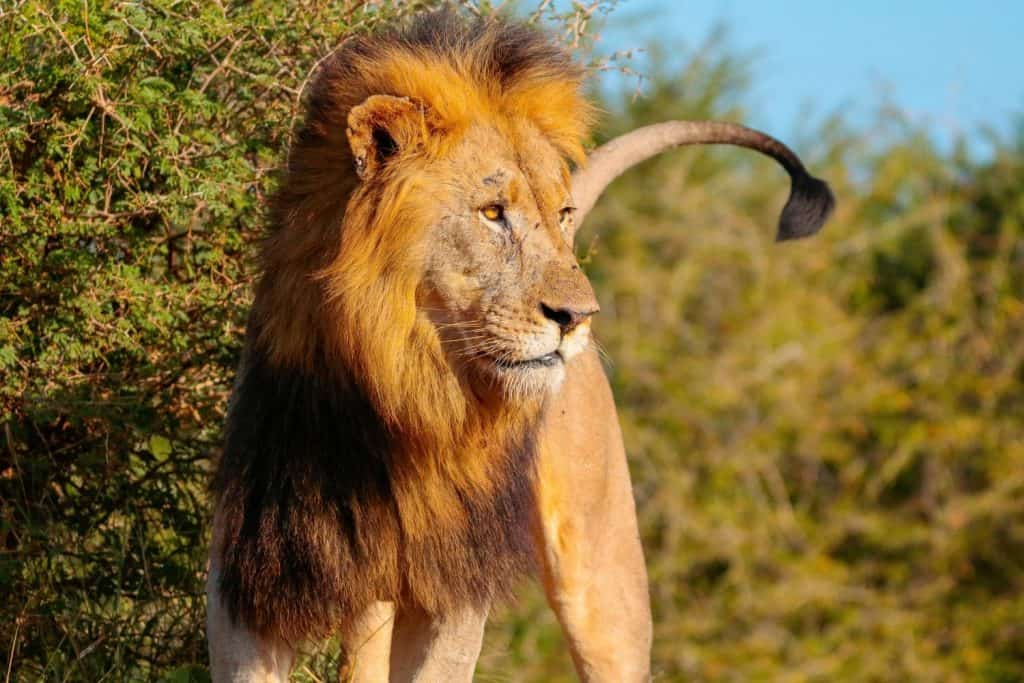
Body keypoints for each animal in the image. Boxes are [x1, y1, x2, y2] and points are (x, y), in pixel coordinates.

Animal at [206, 9, 833, 682]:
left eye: (562, 214)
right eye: (491, 212)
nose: (578, 317)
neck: (402, 393)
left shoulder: (452, 587)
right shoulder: (249, 578)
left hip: (604, 576)